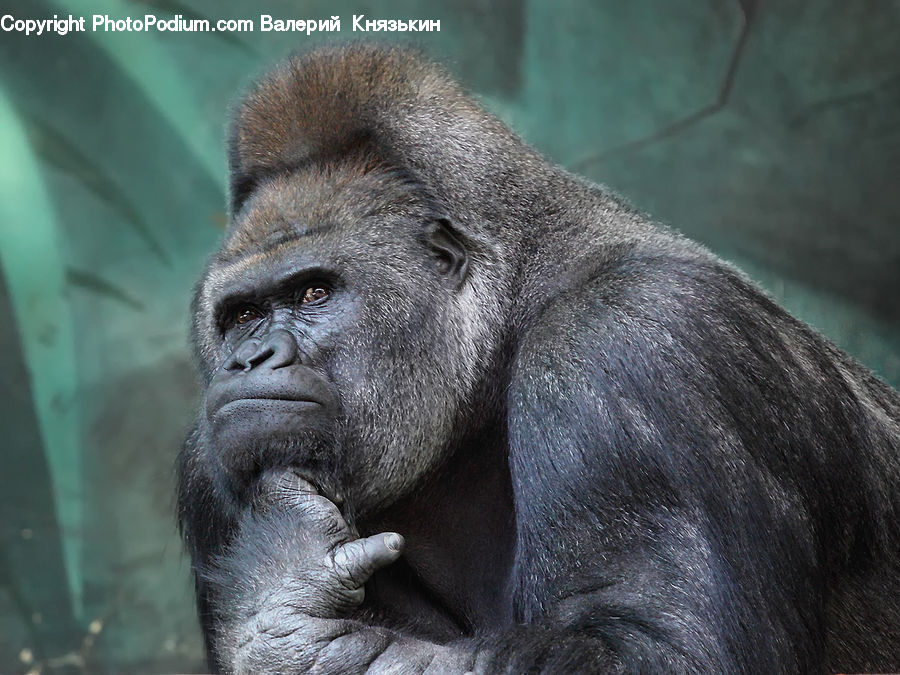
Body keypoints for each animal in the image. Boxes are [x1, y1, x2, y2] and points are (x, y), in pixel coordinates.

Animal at [178, 44, 900, 673]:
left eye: (315, 292)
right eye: (241, 316)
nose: (250, 358)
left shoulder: (632, 340)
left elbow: (653, 654)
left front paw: (283, 608)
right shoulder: (203, 469)